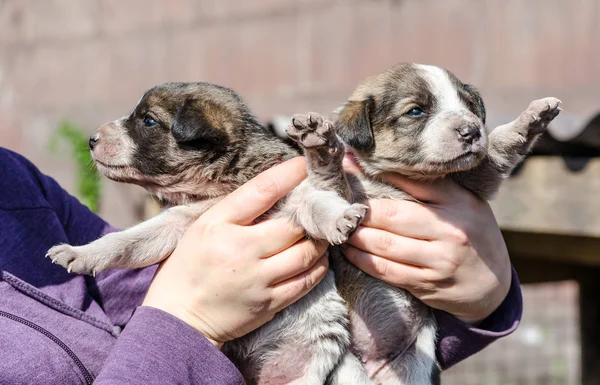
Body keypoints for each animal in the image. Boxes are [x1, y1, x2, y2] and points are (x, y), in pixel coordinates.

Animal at [48, 63, 564, 384]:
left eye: (149, 121)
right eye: (416, 111)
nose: (92, 138)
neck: (224, 183)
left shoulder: (303, 198)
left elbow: (319, 203)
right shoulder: (178, 225)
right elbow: (127, 241)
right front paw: (80, 253)